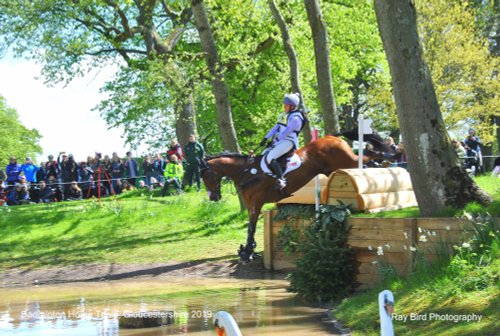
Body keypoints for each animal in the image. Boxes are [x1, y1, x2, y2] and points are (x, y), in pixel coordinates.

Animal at [200, 134, 394, 262]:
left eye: (205, 176)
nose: (213, 197)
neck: (247, 172)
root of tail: (334, 138)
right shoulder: (250, 203)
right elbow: (250, 226)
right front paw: (249, 249)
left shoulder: (256, 202)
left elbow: (251, 226)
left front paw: (247, 253)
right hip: (332, 168)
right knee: (364, 159)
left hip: (348, 161)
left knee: (365, 158)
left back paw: (385, 157)